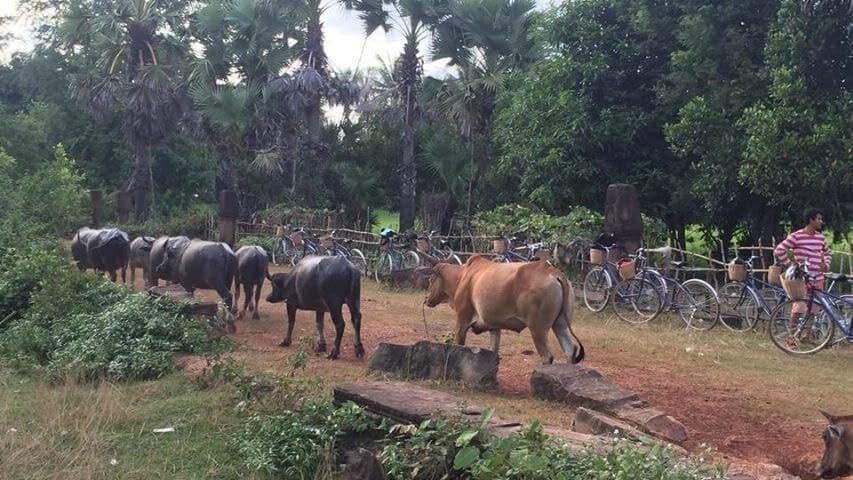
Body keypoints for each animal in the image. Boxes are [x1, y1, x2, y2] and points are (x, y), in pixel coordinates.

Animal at [426, 255, 584, 364]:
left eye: (431, 279)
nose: (427, 299)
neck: (462, 276)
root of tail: (554, 272)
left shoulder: (462, 320)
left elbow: (458, 344)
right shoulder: (494, 327)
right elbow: (493, 351)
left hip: (538, 328)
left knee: (547, 356)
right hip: (560, 324)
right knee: (570, 351)